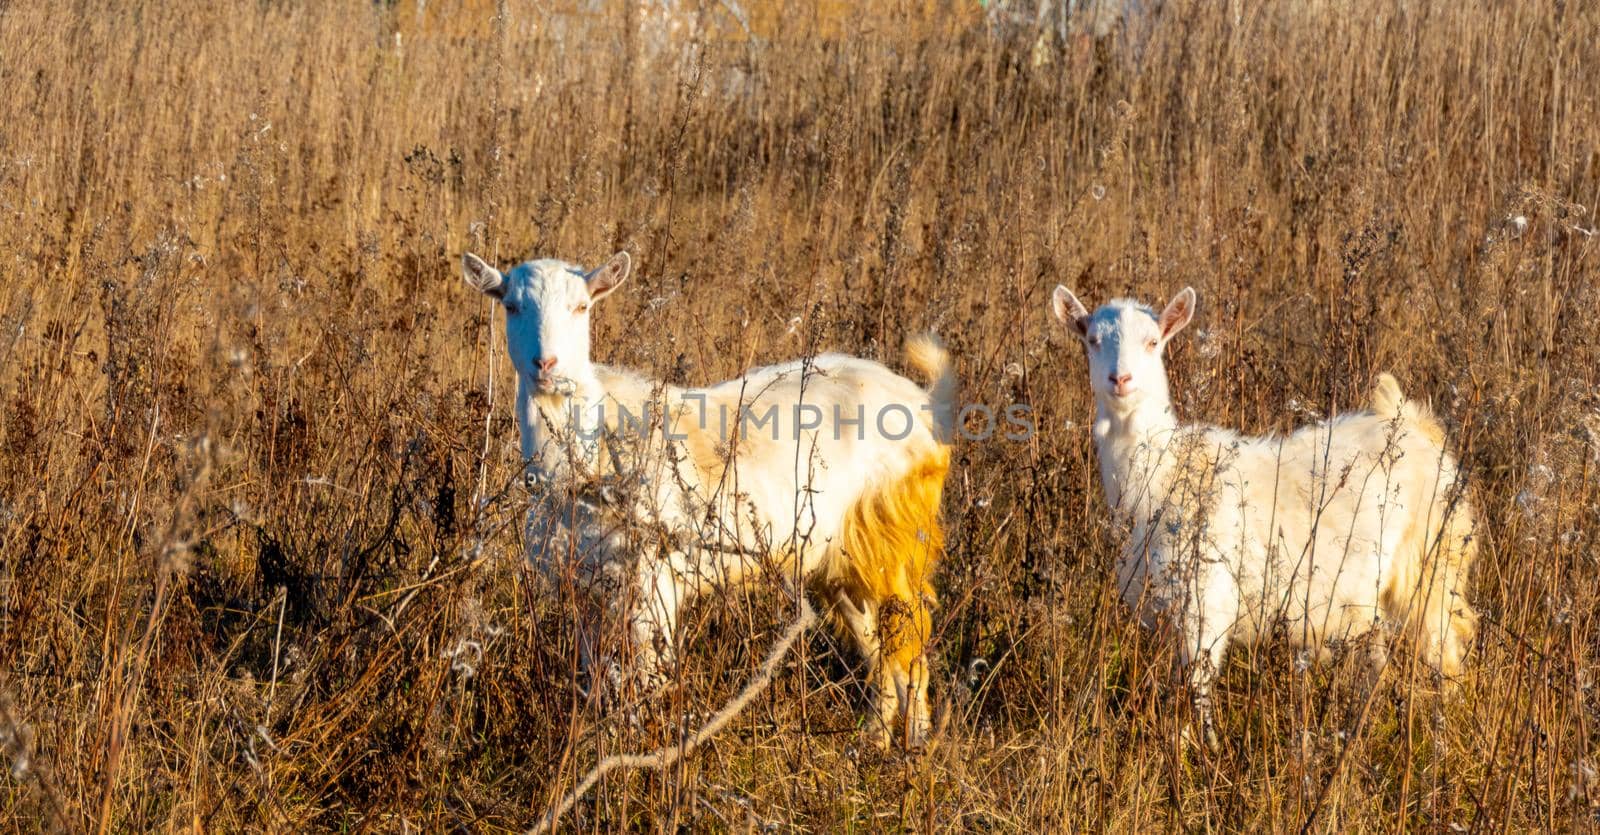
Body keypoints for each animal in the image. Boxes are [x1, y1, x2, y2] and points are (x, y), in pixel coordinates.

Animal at [467, 247, 960, 742]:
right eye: (510, 305)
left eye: (582, 307)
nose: (547, 366)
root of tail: (925, 406)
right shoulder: (589, 590)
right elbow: (600, 673)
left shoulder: (652, 585)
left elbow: (645, 674)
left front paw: (646, 749)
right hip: (837, 559)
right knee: (876, 644)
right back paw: (873, 740)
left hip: (893, 535)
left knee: (910, 639)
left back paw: (916, 745)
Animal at [1049, 283, 1472, 732]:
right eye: (1092, 341)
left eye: (1153, 342)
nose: (1121, 379)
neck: (1166, 474)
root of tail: (1415, 424)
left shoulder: (1205, 606)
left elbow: (1195, 691)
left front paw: (1203, 747)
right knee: (1377, 658)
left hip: (1433, 565)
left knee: (1444, 647)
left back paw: (1445, 725)